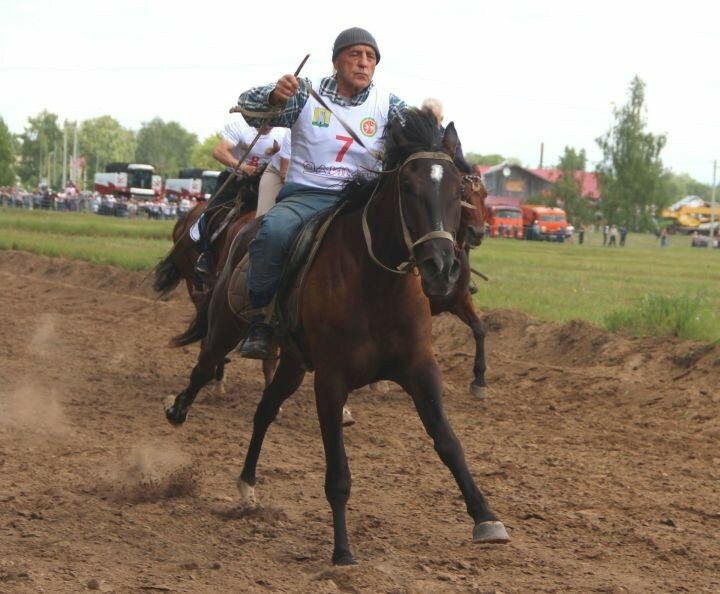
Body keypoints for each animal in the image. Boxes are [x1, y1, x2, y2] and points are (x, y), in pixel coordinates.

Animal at [166, 110, 510, 564]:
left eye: (458, 189)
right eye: (407, 186)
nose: (442, 266)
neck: (376, 283)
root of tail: (245, 229)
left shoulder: (420, 368)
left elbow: (449, 441)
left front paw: (485, 516)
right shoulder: (330, 381)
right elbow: (339, 473)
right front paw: (343, 550)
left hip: (294, 363)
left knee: (264, 409)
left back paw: (247, 483)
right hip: (225, 324)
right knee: (205, 365)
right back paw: (178, 408)